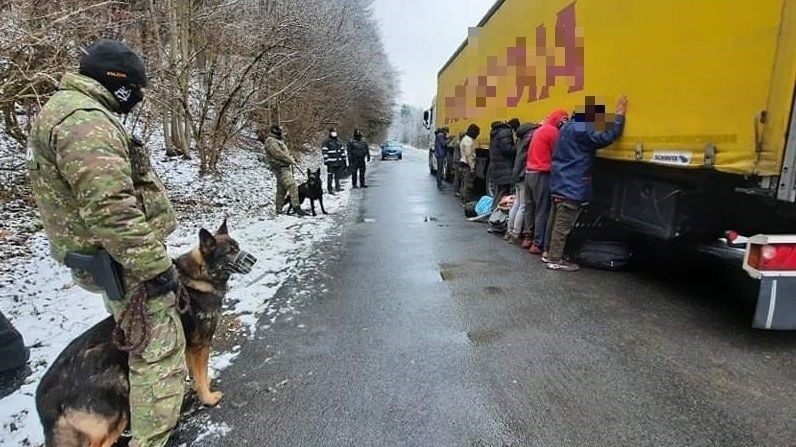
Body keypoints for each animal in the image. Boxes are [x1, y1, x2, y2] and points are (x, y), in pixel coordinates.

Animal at [35, 221, 255, 447]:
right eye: (230, 252)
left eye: (237, 246)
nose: (253, 260)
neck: (199, 276)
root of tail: (44, 398)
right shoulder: (200, 345)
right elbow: (200, 373)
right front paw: (208, 398)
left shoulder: (186, 347)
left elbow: (195, 373)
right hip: (116, 411)